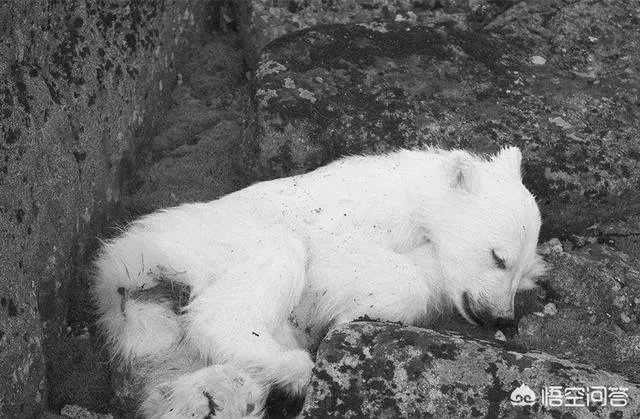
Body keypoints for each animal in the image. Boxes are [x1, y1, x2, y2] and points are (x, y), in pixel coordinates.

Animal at [92, 146, 547, 418]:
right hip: (216, 242)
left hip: (165, 351)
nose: (500, 318)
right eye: (498, 257)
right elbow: (352, 264)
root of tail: (125, 268)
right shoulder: (354, 217)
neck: (410, 196)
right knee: (262, 270)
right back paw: (294, 367)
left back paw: (224, 397)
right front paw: (354, 311)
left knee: (191, 388)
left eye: (519, 270)